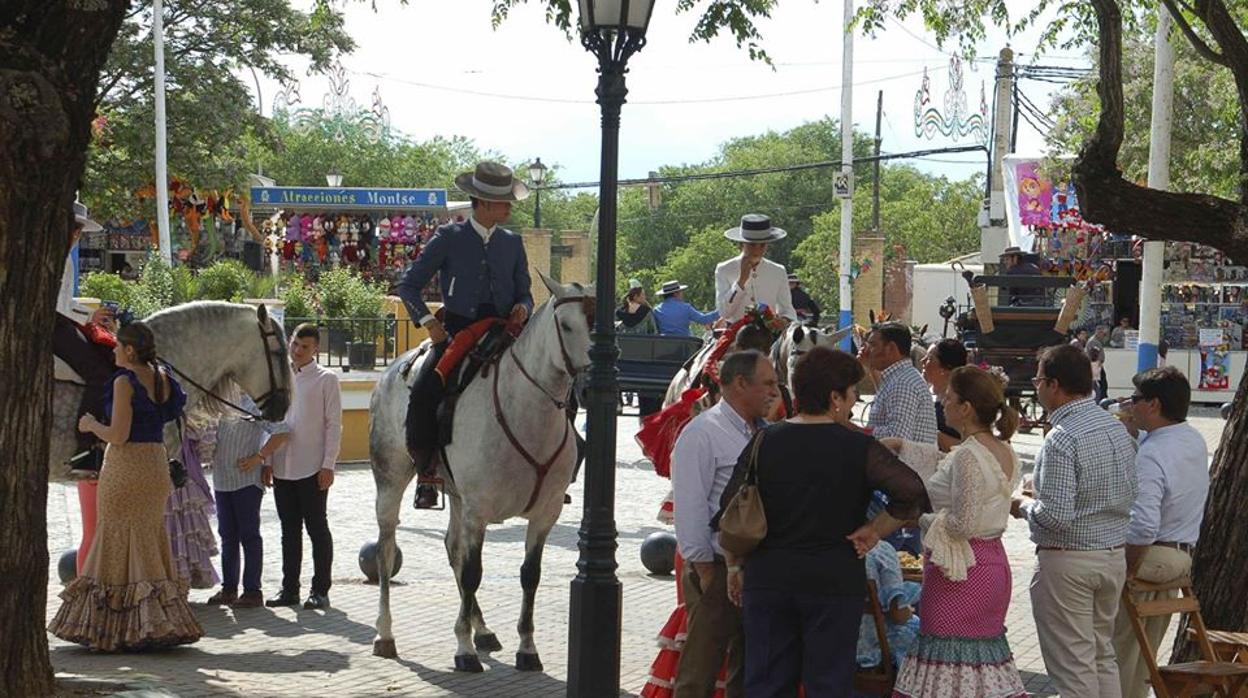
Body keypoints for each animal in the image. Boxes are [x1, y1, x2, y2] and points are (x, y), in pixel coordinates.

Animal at [366, 272, 591, 674]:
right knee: (387, 551)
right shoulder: (478, 510)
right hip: (391, 480)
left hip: (457, 496)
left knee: (451, 547)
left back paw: (482, 628)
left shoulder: (545, 513)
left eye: (595, 321)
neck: (527, 413)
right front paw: (463, 648)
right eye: (565, 325)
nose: (594, 371)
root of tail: (392, 370)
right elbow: (473, 572)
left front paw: (526, 647)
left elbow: (529, 576)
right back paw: (386, 633)